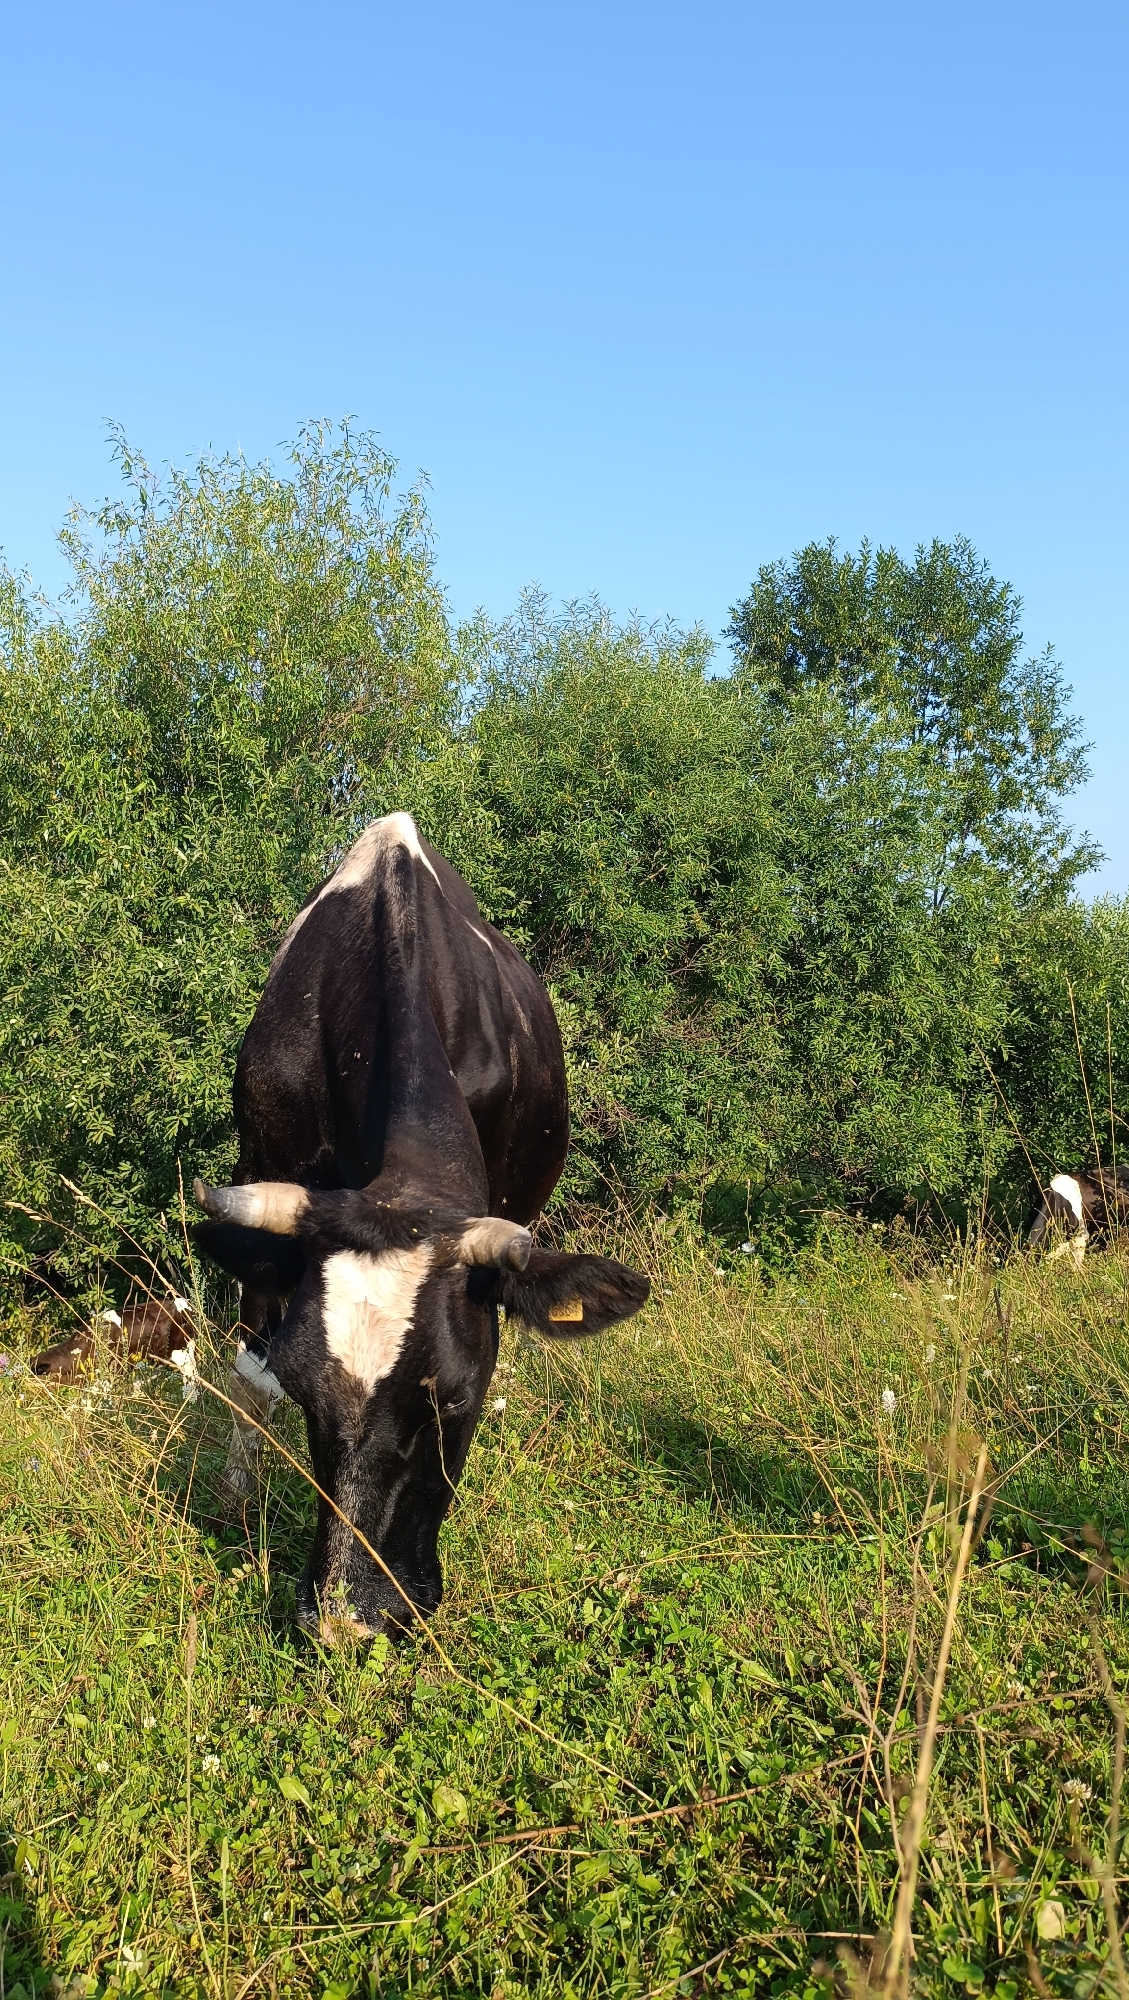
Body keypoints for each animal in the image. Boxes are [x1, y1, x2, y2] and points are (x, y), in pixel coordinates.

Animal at [192, 812, 649, 1643]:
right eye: (303, 1392)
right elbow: (247, 1369)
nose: (350, 1620)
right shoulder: (264, 1168)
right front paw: (237, 1501)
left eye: (455, 1402)